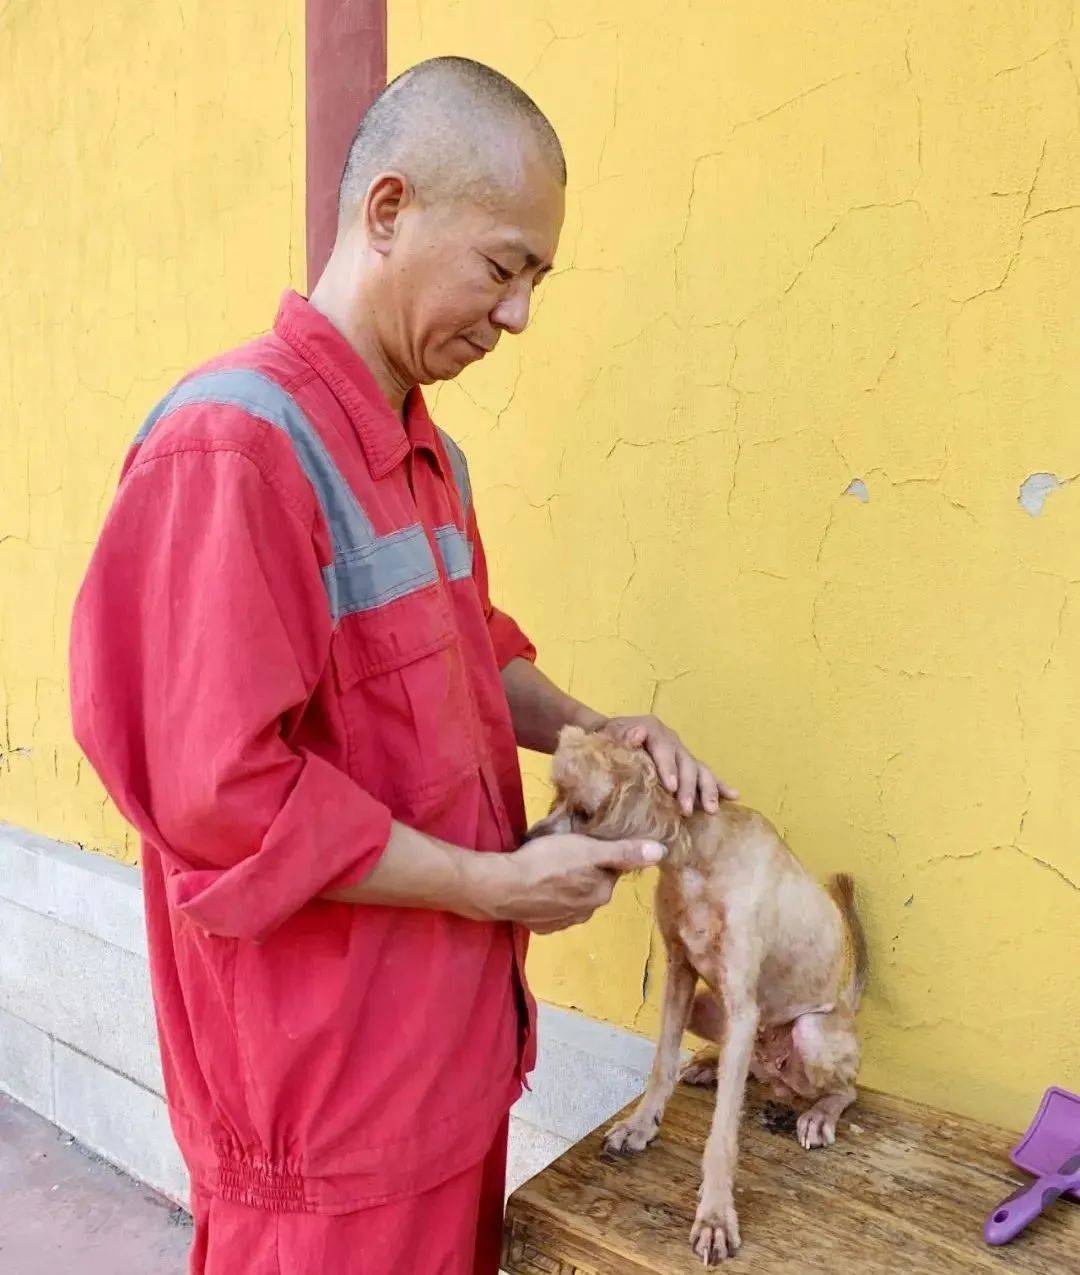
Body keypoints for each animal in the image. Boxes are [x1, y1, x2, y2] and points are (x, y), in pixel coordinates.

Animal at [530, 729, 872, 1264]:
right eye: (556, 795)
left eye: (585, 812)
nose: (522, 844)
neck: (695, 858)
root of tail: (847, 1008)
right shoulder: (680, 973)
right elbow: (662, 1063)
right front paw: (641, 1124)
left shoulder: (743, 1003)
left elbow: (723, 1134)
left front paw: (714, 1218)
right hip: (711, 1011)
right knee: (748, 1066)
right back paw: (711, 1067)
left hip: (811, 1031)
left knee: (846, 1088)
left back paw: (819, 1115)